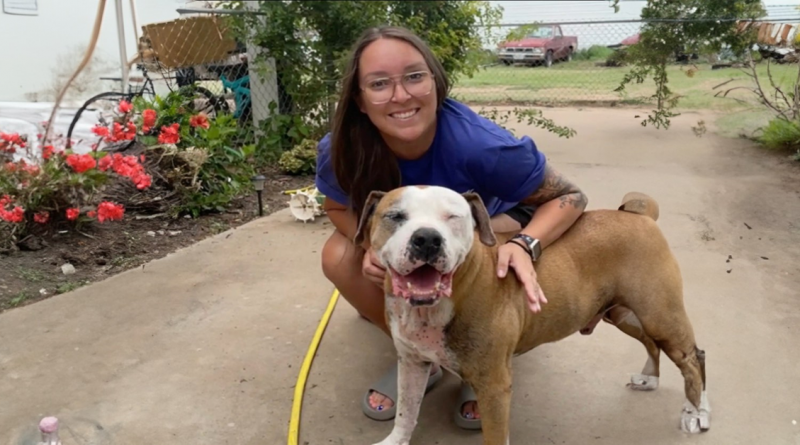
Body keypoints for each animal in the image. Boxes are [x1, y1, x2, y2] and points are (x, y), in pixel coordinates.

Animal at [356, 186, 712, 444]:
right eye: (395, 216)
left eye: (453, 217)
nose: (428, 238)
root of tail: (640, 215)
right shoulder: (412, 363)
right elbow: (406, 412)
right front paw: (394, 441)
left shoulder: (494, 386)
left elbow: (495, 438)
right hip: (624, 314)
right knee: (656, 344)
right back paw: (653, 380)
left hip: (659, 314)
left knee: (691, 357)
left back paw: (695, 412)